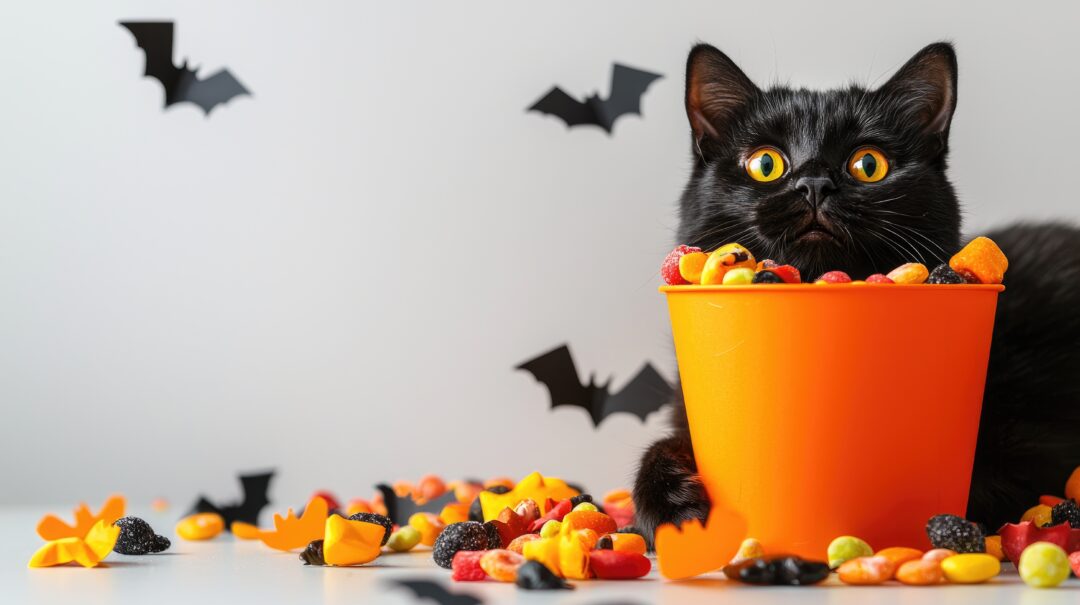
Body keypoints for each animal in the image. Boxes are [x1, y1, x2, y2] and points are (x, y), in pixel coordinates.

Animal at [630, 41, 1080, 544]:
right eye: (765, 164)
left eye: (869, 164)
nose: (814, 185)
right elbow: (661, 446)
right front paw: (677, 505)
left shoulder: (1031, 446)